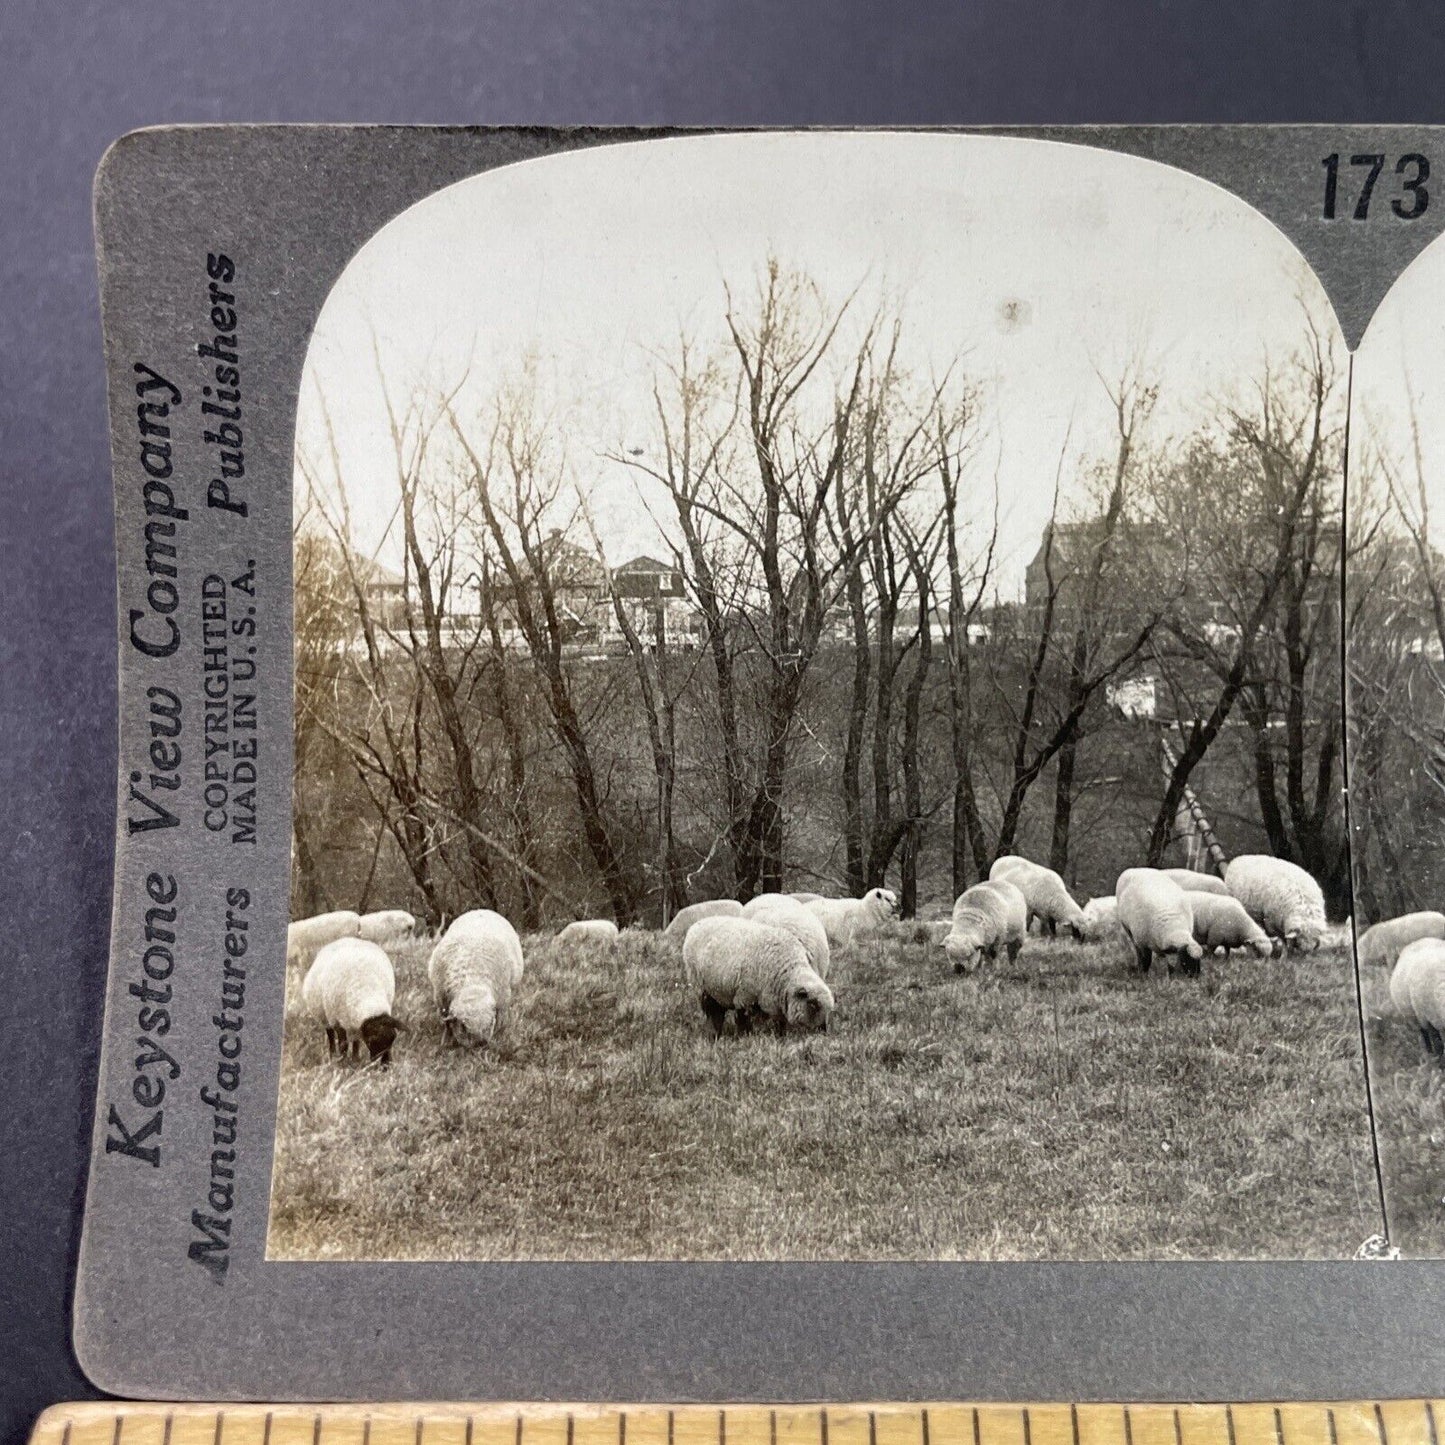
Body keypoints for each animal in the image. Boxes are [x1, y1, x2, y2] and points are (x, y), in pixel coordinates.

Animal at [427, 907, 525, 1046]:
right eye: (463, 1026)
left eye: (490, 1023)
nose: (480, 1043)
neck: (472, 981)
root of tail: (482, 909)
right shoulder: (440, 999)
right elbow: (446, 1023)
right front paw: (446, 1039)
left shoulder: (504, 998)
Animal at [684, 919, 838, 1034]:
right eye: (813, 1004)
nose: (823, 1031)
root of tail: (696, 925)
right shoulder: (745, 997)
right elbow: (743, 1019)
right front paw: (745, 1037)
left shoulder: (776, 1001)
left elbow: (780, 1022)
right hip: (702, 988)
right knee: (714, 1014)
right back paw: (714, 1035)